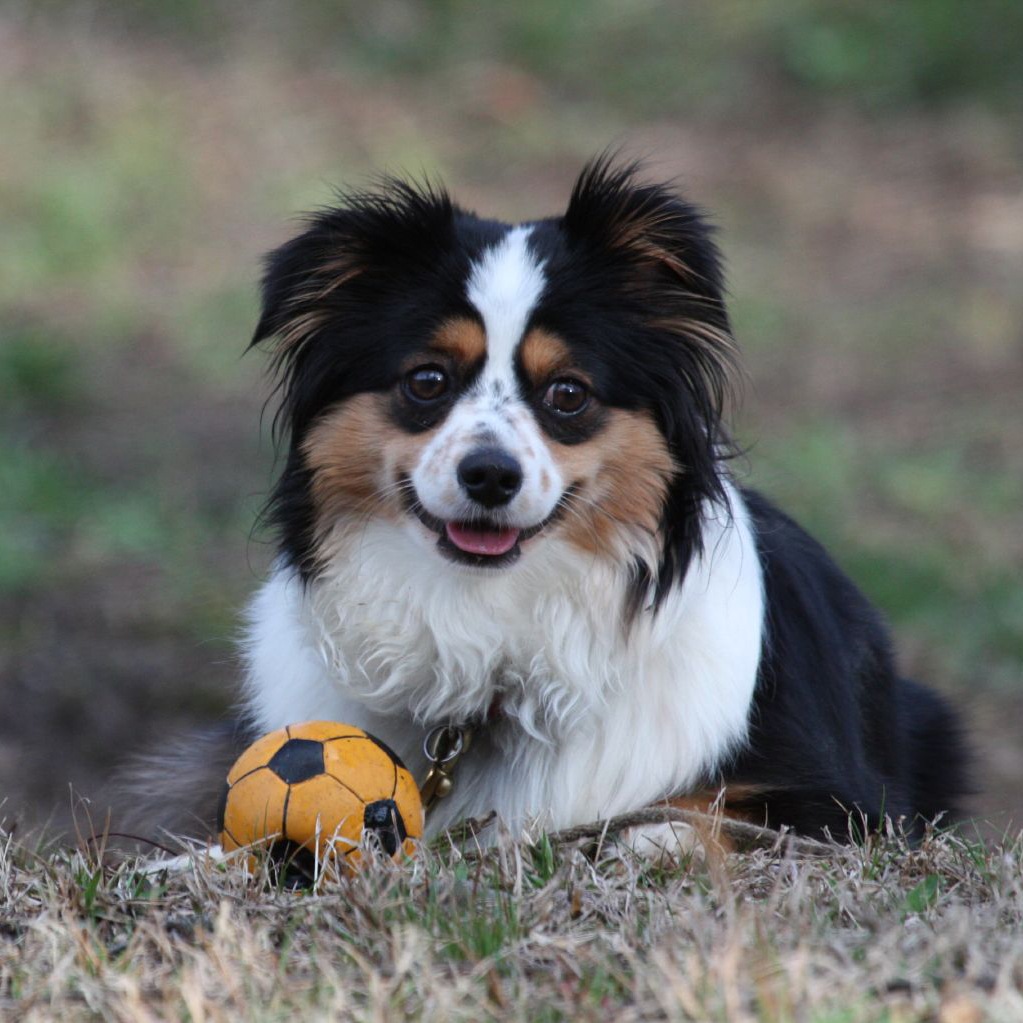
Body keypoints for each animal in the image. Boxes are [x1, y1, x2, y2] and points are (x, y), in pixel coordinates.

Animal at [148, 157, 969, 847]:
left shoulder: (837, 804)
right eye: (427, 380)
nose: (489, 476)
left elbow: (685, 816)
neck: (490, 625)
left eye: (568, 393)